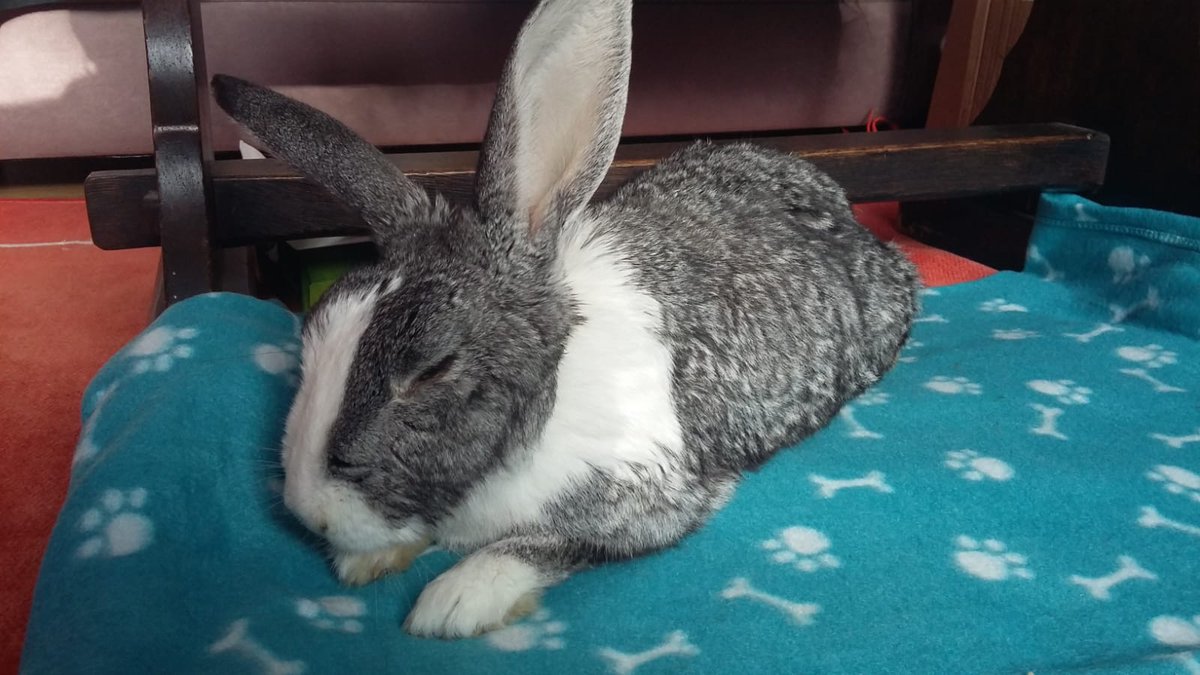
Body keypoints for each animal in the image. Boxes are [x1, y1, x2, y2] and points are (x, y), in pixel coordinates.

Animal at [211, 0, 919, 640]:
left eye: (433, 366)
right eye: (311, 335)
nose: (309, 513)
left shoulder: (649, 500)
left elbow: (544, 544)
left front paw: (455, 602)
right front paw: (365, 560)